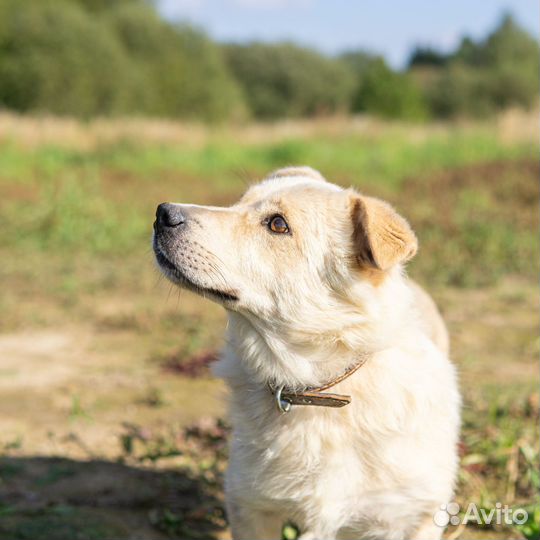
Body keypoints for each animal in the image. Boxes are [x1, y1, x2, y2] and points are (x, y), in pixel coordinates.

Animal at [152, 166, 460, 540]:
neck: (315, 389)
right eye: (237, 203)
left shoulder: (416, 515)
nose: (163, 213)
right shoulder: (251, 506)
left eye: (277, 224)